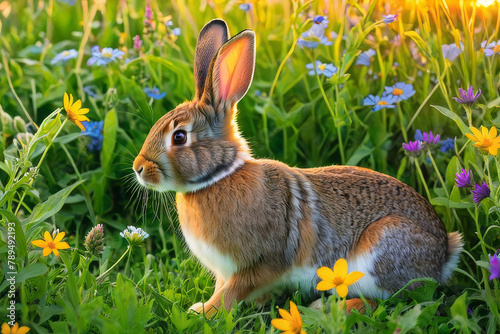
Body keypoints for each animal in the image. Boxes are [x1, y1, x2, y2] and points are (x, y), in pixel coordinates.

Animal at [133, 18, 464, 316]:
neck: (218, 177)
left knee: (389, 301)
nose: (138, 168)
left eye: (179, 137)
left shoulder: (261, 263)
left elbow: (232, 293)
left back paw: (327, 308)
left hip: (380, 251)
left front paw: (202, 311)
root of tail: (443, 253)